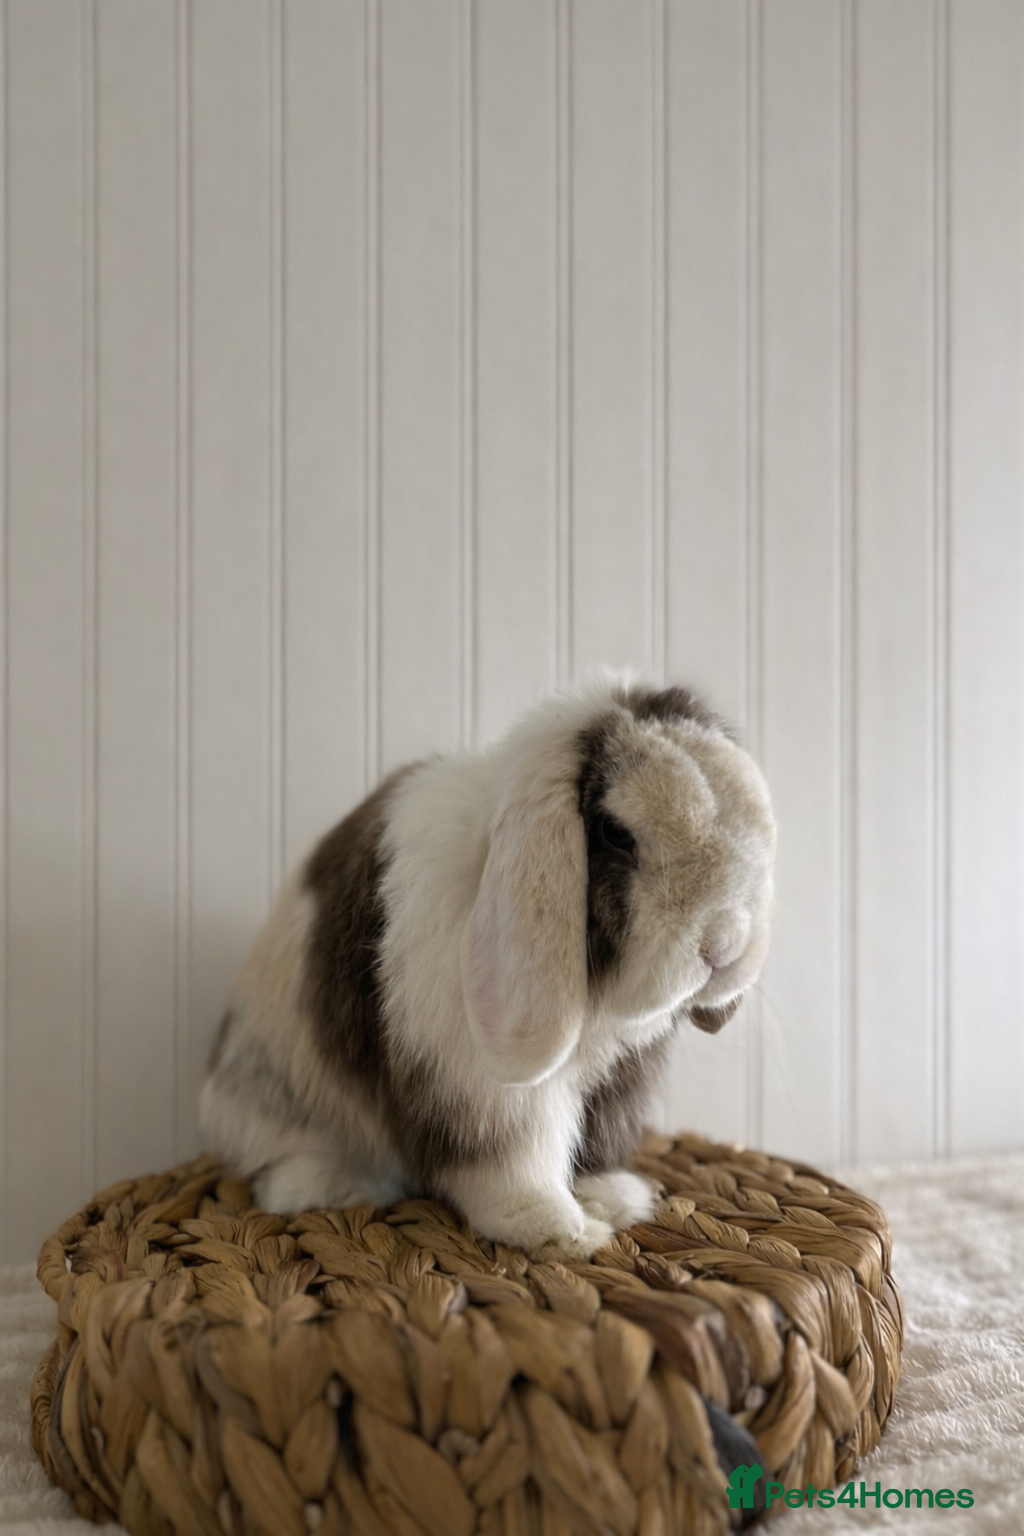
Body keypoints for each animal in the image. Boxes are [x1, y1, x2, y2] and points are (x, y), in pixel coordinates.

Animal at [199, 678, 776, 1261]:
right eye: (616, 833)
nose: (723, 947)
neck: (599, 1009)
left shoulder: (619, 1079)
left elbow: (597, 1139)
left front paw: (609, 1196)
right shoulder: (482, 1089)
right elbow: (511, 1161)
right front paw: (560, 1232)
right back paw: (329, 1184)